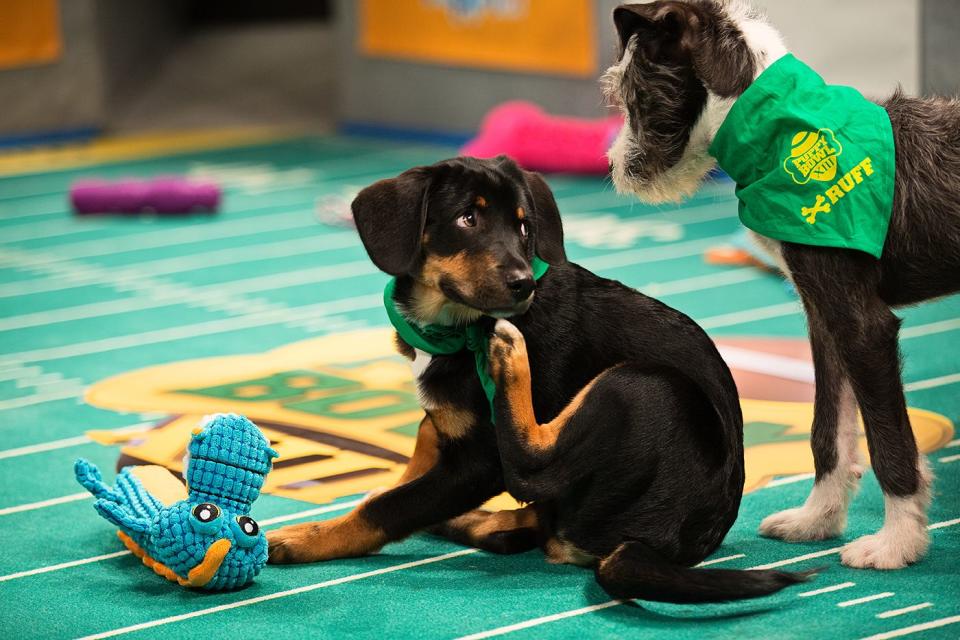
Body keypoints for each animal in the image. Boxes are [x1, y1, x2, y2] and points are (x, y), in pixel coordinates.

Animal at [264, 156, 808, 604]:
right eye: (467, 219)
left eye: (524, 227)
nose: (523, 283)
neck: (454, 326)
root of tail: (666, 542)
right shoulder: (450, 436)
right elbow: (421, 445)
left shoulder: (481, 463)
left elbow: (391, 505)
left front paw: (307, 537)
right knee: (527, 525)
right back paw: (477, 519)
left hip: (645, 385)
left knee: (532, 470)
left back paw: (510, 361)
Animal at [608, 0, 960, 568]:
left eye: (635, 94)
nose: (615, 166)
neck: (781, 134)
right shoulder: (824, 317)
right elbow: (827, 430)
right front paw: (817, 519)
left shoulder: (863, 326)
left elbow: (890, 442)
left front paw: (897, 542)